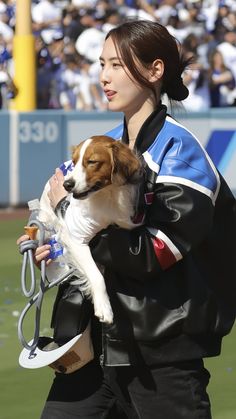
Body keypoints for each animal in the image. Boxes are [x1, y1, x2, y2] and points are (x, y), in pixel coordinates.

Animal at [38, 135, 144, 324]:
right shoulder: (75, 238)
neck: (106, 195)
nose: (67, 184)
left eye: (92, 162)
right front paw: (104, 307)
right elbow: (96, 276)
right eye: (74, 162)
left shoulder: (125, 222)